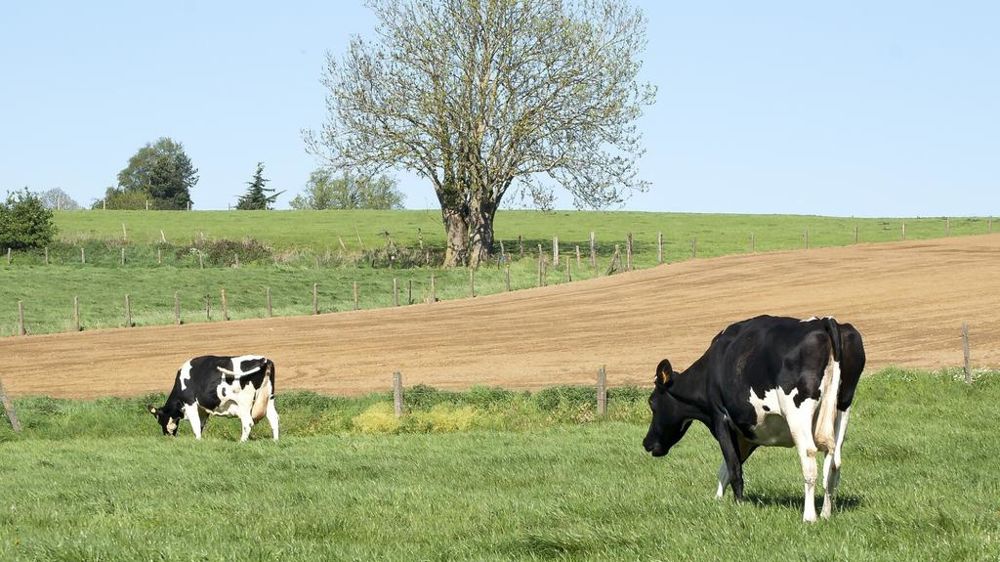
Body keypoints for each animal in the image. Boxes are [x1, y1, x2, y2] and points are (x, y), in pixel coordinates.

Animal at [147, 355, 279, 442]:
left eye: (159, 420)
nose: (166, 436)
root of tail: (264, 360)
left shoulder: (190, 402)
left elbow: (195, 424)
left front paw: (197, 440)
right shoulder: (202, 409)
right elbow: (200, 424)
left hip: (244, 403)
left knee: (248, 422)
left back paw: (241, 442)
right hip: (269, 398)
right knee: (274, 418)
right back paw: (275, 440)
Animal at [642, 315, 865, 522]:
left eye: (652, 403)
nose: (646, 442)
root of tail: (825, 322)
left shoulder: (721, 418)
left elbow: (733, 468)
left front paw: (738, 506)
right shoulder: (748, 431)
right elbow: (726, 469)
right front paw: (718, 501)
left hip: (797, 413)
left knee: (809, 458)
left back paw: (809, 517)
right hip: (842, 407)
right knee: (834, 462)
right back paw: (826, 513)